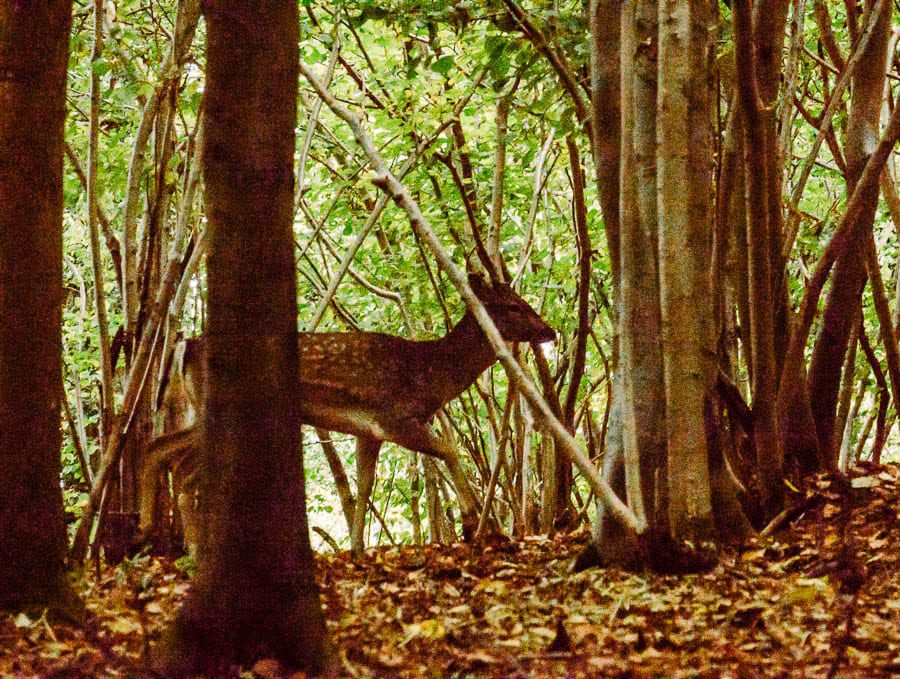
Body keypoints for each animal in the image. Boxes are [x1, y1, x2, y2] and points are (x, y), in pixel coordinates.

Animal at [139, 274, 556, 556]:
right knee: (176, 466)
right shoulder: (394, 417)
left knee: (160, 449)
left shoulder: (367, 430)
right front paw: (474, 525)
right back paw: (183, 545)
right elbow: (449, 449)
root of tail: (184, 346)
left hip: (195, 411)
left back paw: (156, 533)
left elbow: (363, 485)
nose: (549, 330)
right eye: (514, 306)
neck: (428, 376)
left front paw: (356, 548)